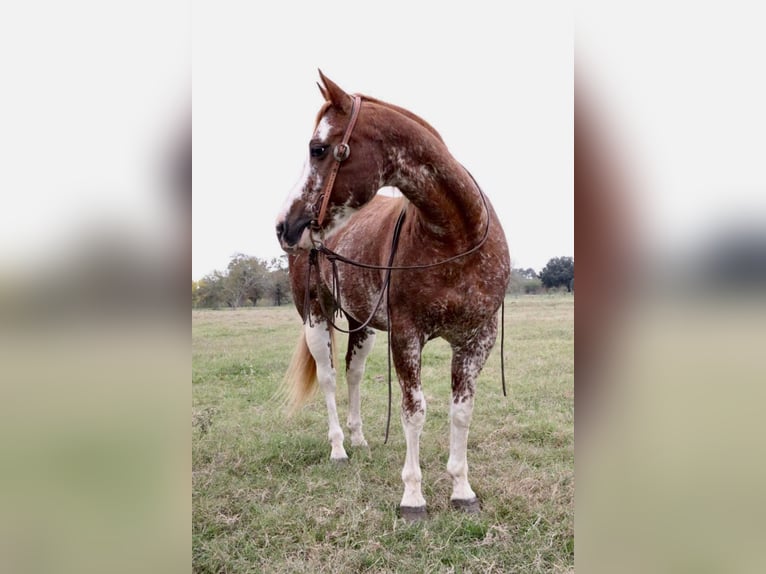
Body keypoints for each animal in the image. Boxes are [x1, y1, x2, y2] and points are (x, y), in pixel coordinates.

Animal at [274, 72, 510, 520]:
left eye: (318, 149)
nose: (284, 226)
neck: (456, 238)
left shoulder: (476, 339)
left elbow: (461, 413)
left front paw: (462, 489)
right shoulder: (407, 336)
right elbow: (413, 412)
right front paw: (413, 496)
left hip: (363, 325)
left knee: (353, 373)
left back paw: (359, 438)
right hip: (316, 316)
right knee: (330, 377)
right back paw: (339, 448)